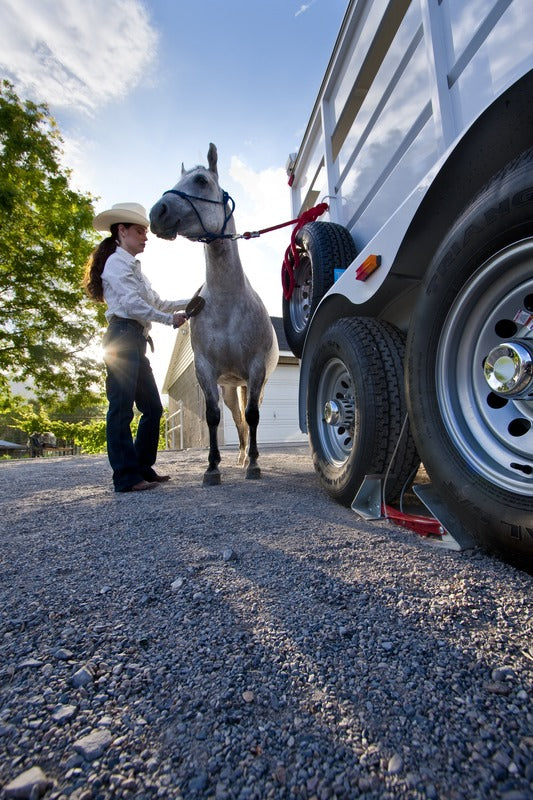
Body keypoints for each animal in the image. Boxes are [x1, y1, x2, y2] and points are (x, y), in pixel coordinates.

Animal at [149, 144, 278, 484]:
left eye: (202, 181)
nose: (157, 213)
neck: (227, 304)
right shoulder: (205, 371)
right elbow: (212, 416)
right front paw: (212, 467)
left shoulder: (256, 369)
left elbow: (253, 417)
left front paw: (255, 465)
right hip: (231, 388)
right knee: (236, 419)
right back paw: (241, 457)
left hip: (252, 384)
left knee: (248, 416)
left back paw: (249, 458)